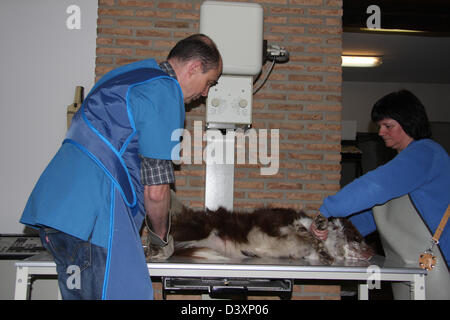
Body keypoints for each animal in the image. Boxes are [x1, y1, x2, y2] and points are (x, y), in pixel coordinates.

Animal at [142, 206, 374, 264]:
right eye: (358, 237)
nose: (372, 252)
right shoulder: (279, 222)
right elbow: (308, 232)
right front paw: (317, 228)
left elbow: (316, 245)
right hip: (201, 228)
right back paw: (155, 250)